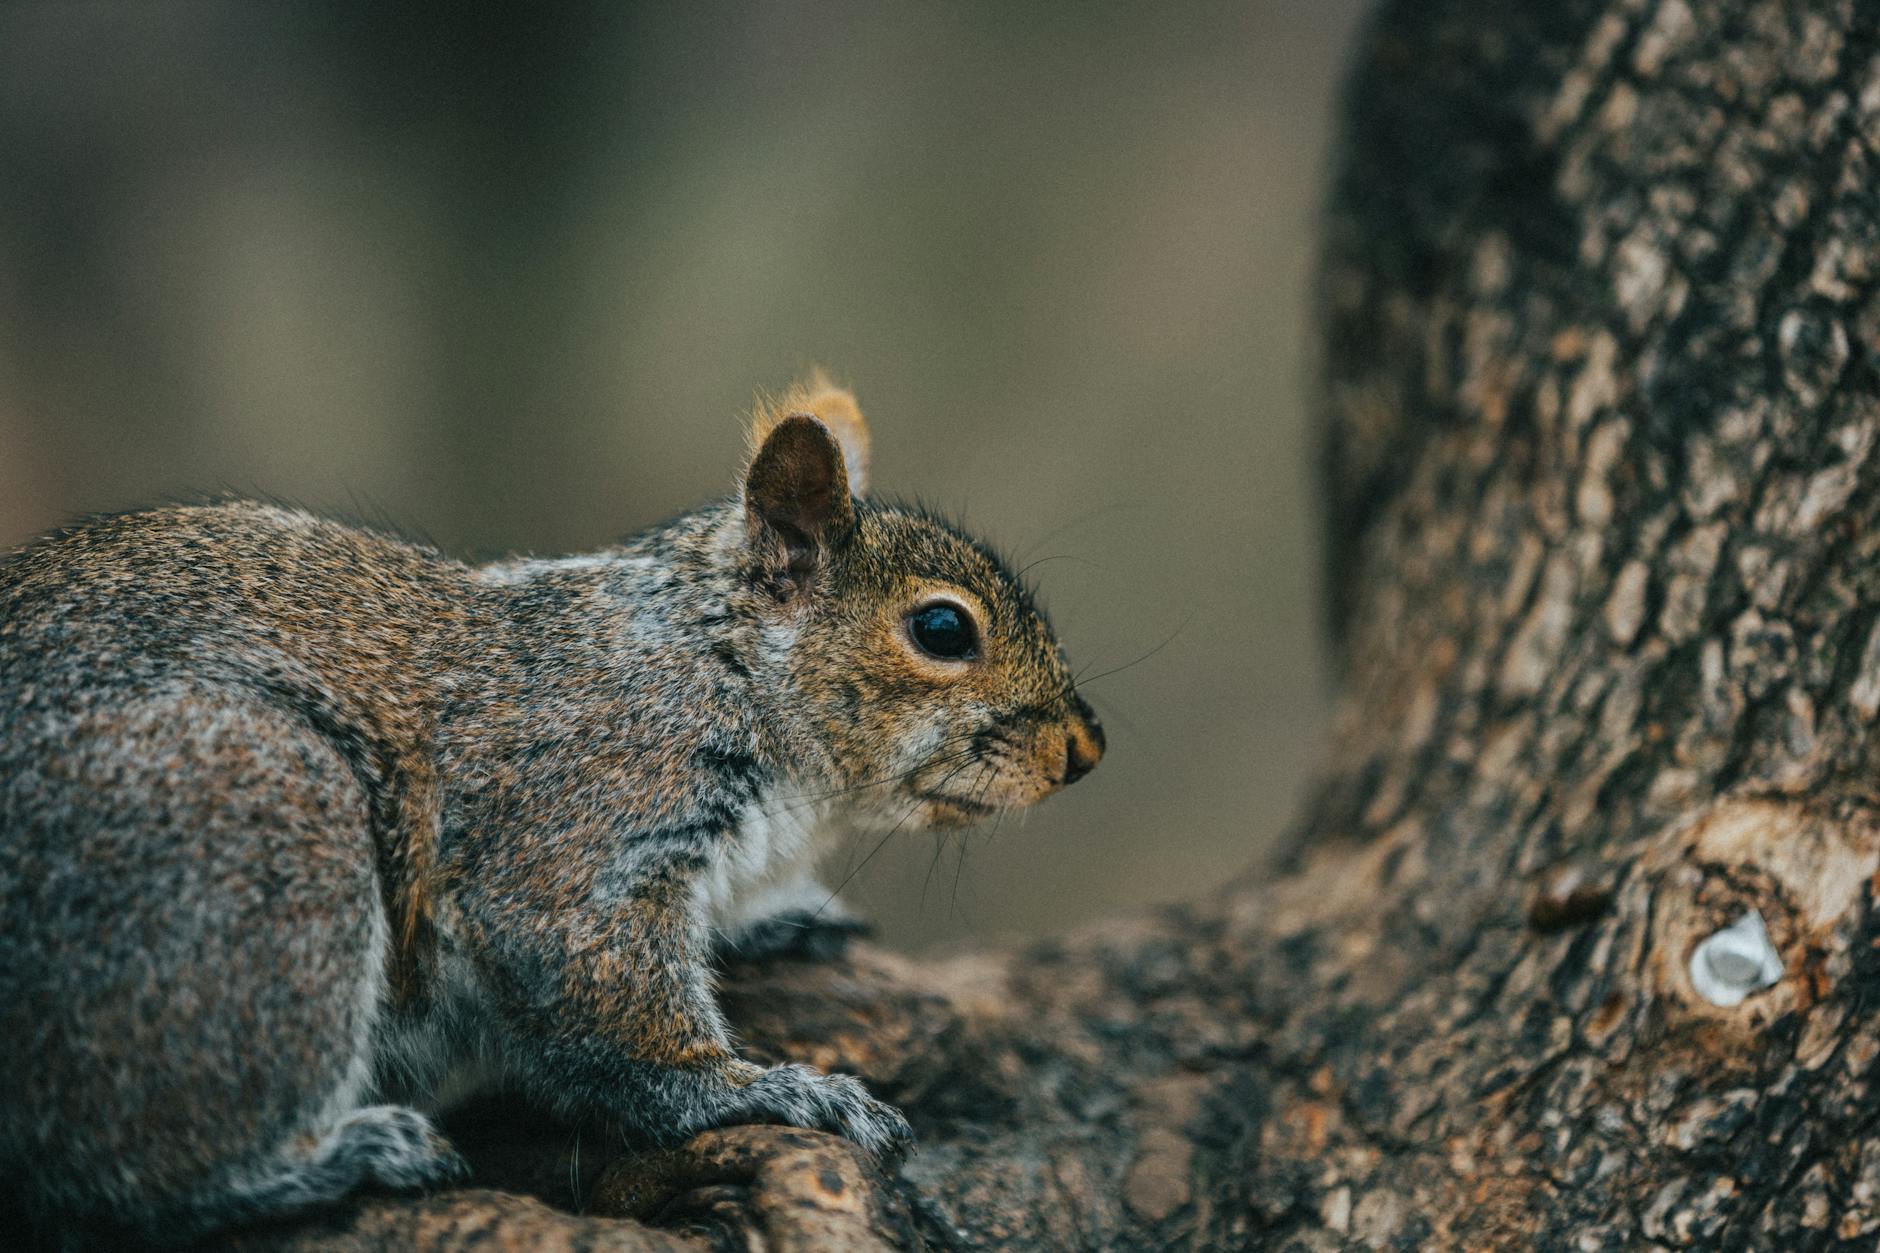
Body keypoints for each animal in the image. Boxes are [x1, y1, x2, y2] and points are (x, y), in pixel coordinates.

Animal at [0, 376, 1105, 1247]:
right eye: (941, 629)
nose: (1084, 750)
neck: (717, 662)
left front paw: (782, 916)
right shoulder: (585, 811)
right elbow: (609, 1007)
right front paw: (760, 1087)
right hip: (248, 838)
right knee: (139, 1173)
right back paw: (330, 1156)